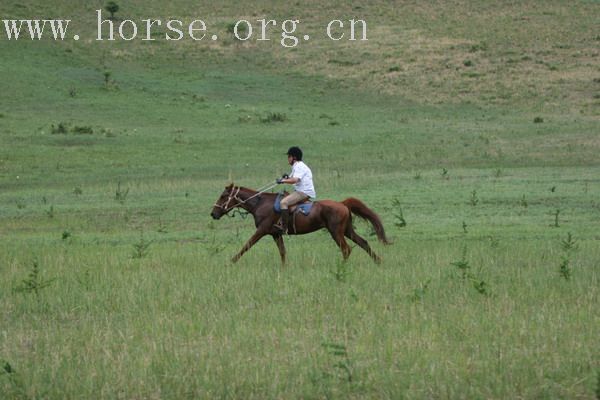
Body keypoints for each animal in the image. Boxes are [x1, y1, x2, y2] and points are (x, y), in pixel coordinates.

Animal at [211, 184, 390, 266]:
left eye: (223, 196)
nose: (213, 213)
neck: (260, 204)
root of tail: (342, 203)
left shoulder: (262, 231)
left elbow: (246, 246)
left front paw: (232, 261)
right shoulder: (276, 234)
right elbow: (283, 252)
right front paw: (284, 268)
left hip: (336, 232)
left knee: (346, 249)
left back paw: (342, 266)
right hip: (347, 230)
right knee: (363, 243)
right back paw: (379, 261)